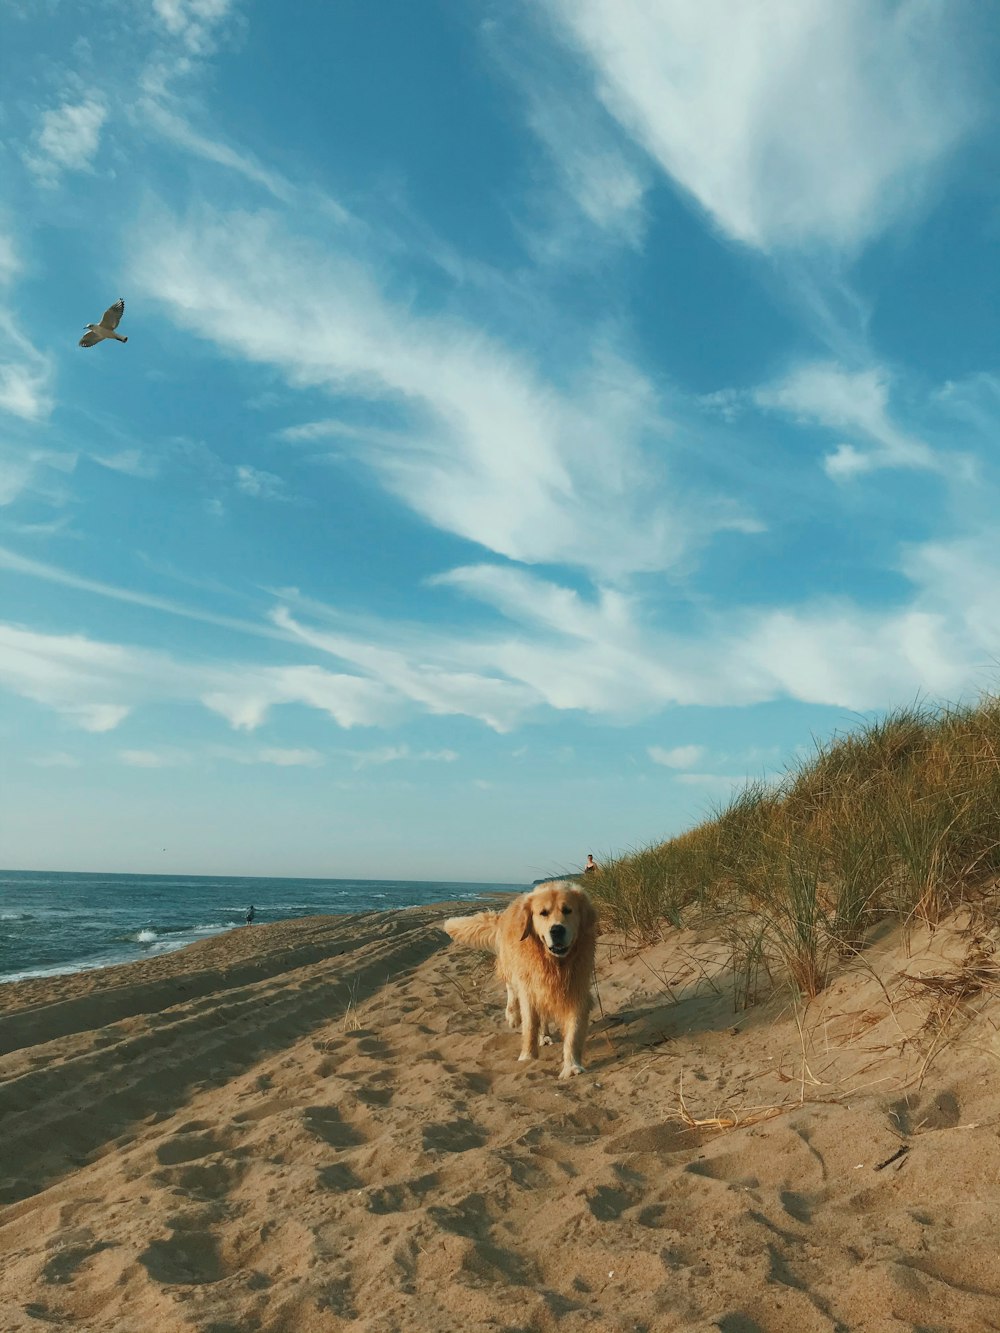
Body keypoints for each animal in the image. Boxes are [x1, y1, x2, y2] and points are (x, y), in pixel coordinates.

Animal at [445, 879, 594, 1077]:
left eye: (568, 910)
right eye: (543, 913)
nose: (557, 930)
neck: (554, 963)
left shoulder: (577, 989)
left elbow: (574, 1033)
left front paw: (572, 1066)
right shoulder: (529, 989)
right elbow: (529, 1025)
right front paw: (527, 1057)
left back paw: (544, 1035)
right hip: (510, 965)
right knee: (511, 989)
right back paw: (513, 1015)